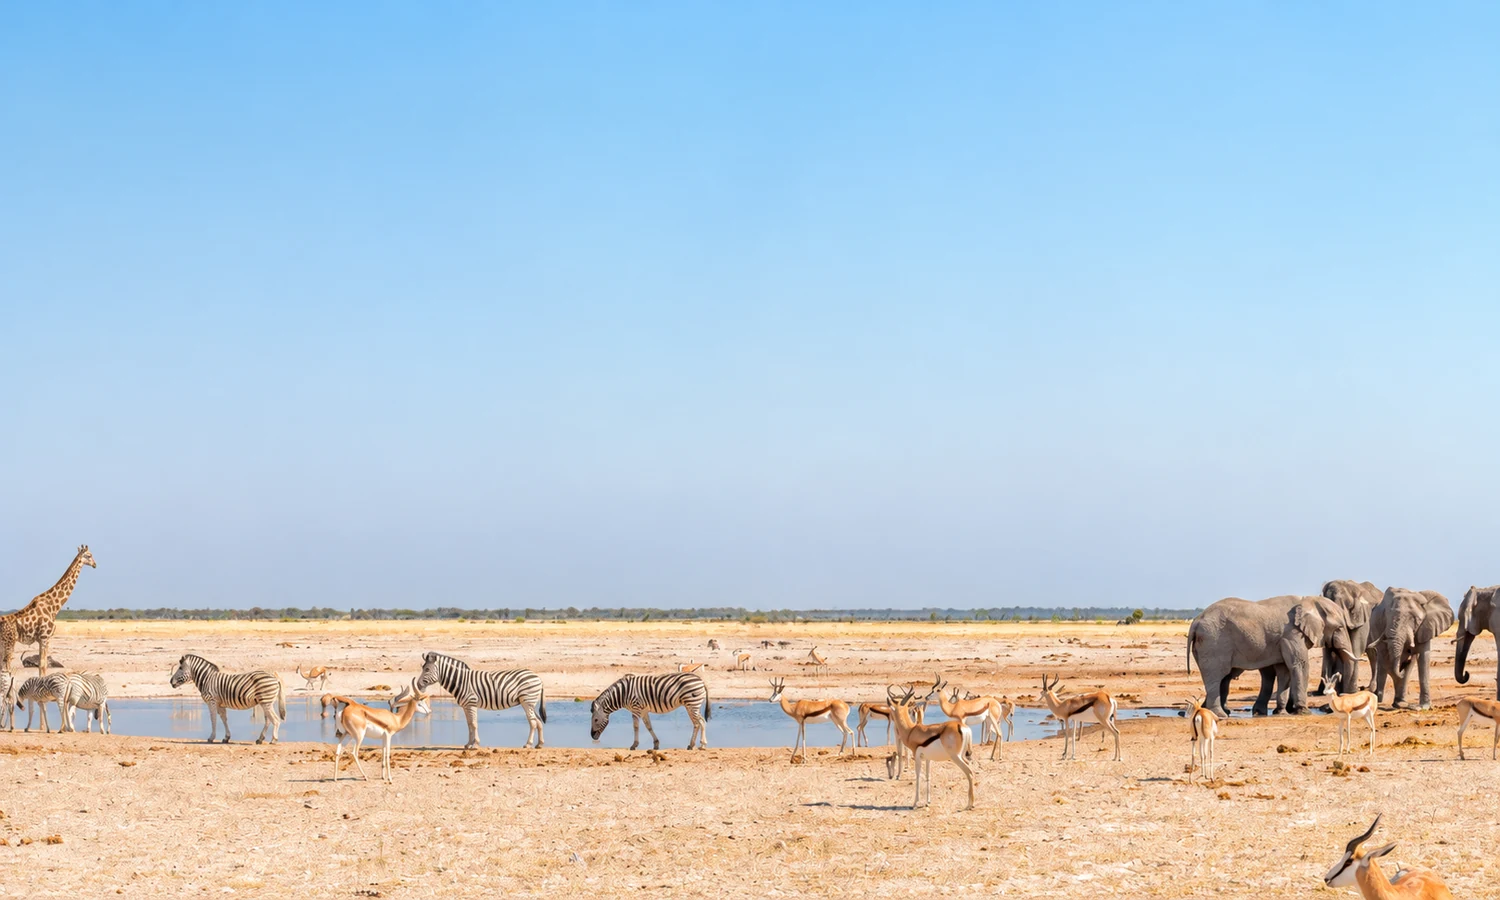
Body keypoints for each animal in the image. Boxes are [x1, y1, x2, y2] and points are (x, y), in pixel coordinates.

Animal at [2, 546, 96, 677]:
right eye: (89, 555)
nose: (95, 564)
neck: (54, 606)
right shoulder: (45, 637)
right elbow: (43, 666)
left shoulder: (42, 639)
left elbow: (42, 666)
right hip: (9, 643)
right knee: (6, 668)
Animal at [415, 651, 546, 750]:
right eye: (423, 668)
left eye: (427, 669)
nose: (418, 685)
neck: (461, 681)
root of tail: (538, 677)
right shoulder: (466, 706)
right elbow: (469, 724)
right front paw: (468, 744)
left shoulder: (471, 703)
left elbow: (474, 724)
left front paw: (475, 744)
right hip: (531, 703)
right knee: (538, 721)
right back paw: (539, 744)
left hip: (527, 701)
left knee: (533, 722)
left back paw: (528, 744)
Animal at [1188, 594, 1357, 718]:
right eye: (1339, 628)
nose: (1328, 709)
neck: (1308, 601)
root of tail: (1196, 621)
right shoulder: (1292, 634)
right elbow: (1300, 665)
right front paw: (1304, 712)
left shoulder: (1283, 640)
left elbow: (1284, 671)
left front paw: (1281, 713)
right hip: (1213, 643)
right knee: (1216, 676)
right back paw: (1220, 715)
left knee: (1223, 678)